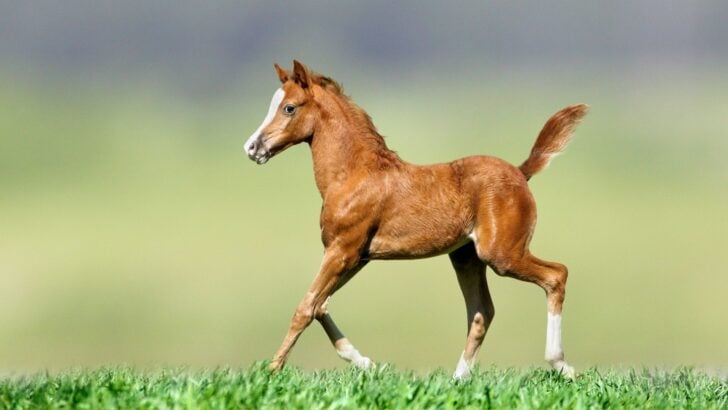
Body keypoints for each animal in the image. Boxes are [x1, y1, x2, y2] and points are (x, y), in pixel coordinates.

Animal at [244, 60, 588, 380]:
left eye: (289, 108)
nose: (252, 147)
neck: (354, 174)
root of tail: (520, 172)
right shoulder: (356, 257)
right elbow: (320, 304)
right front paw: (366, 362)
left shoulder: (343, 250)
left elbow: (305, 307)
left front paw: (271, 371)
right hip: (466, 257)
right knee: (481, 311)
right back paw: (458, 379)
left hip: (501, 254)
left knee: (556, 275)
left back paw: (561, 365)